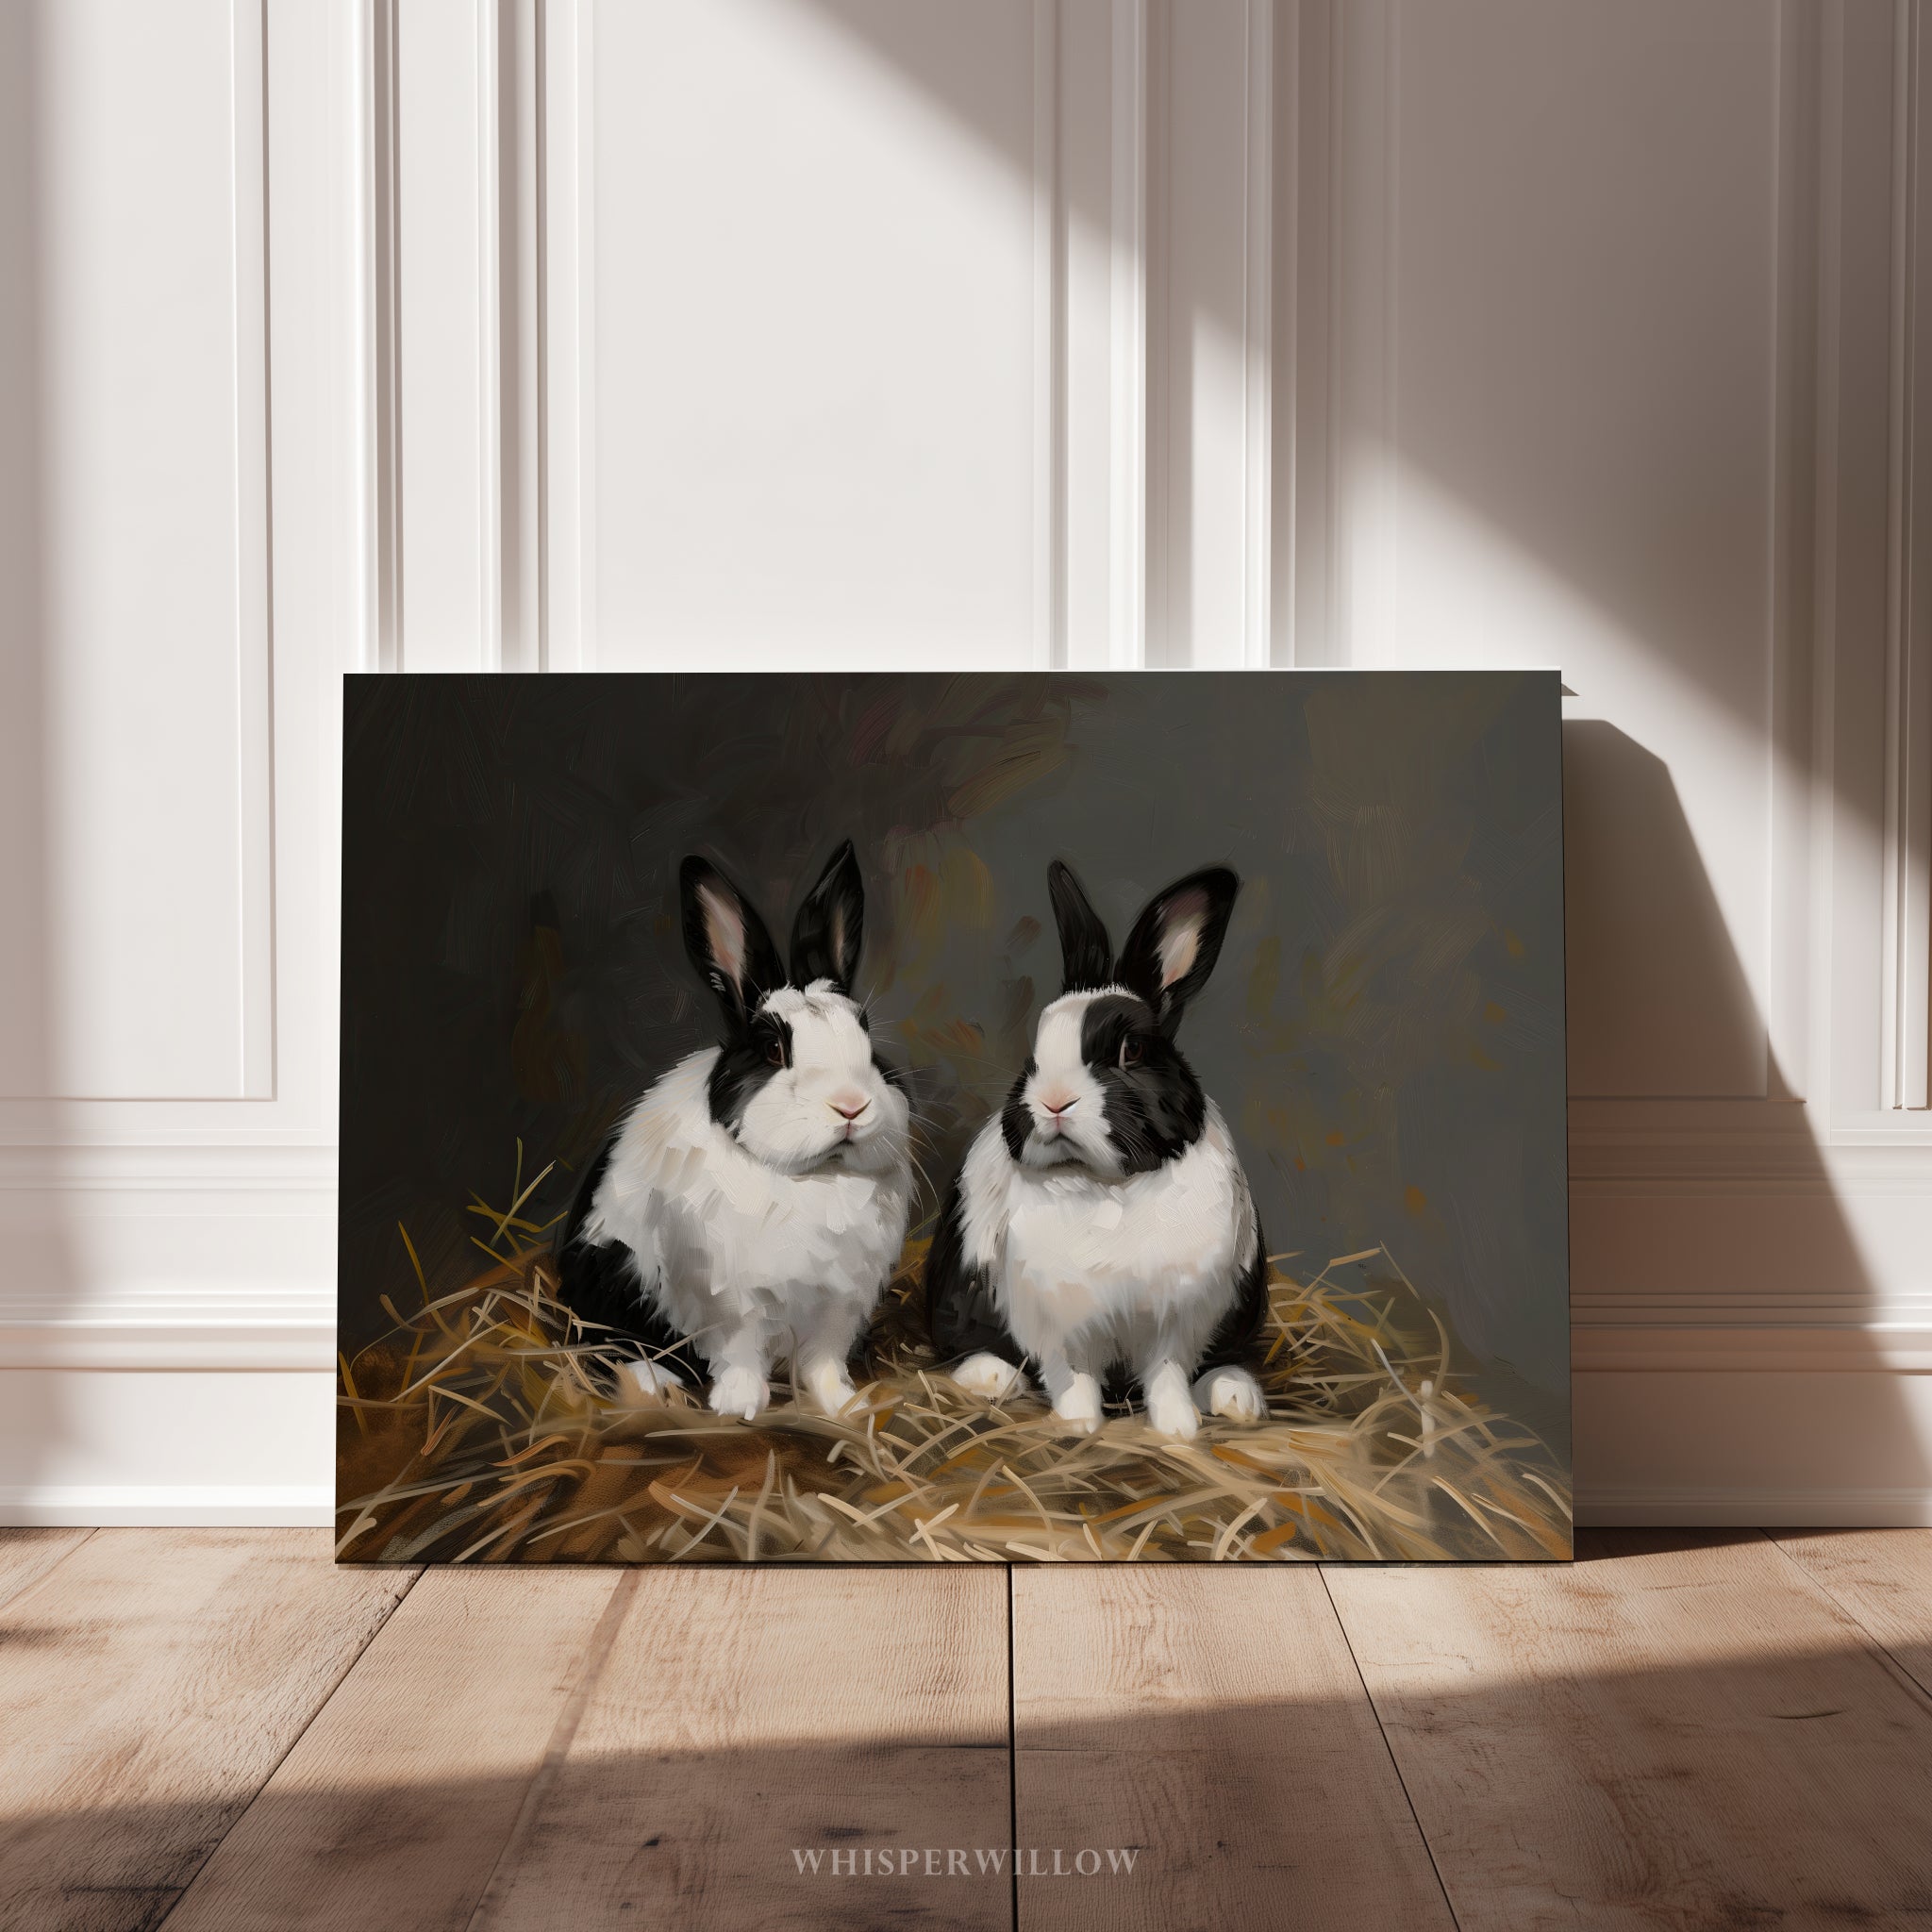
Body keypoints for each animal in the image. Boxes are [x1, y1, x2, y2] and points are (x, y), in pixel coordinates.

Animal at [556, 841, 913, 1421]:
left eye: (866, 1036)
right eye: (772, 1048)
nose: (851, 1106)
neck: (812, 1179)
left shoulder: (838, 1304)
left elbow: (822, 1362)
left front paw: (845, 1406)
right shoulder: (727, 1303)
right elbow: (739, 1354)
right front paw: (740, 1407)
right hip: (612, 1277)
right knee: (610, 1341)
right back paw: (654, 1385)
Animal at [925, 858, 1268, 1440]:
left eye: (1131, 1050)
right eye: (1033, 1056)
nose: (1054, 1101)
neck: (1109, 1186)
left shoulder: (1178, 1320)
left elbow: (1168, 1375)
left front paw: (1178, 1431)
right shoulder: (1061, 1324)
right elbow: (1075, 1376)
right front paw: (1079, 1425)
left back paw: (1235, 1397)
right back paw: (991, 1378)